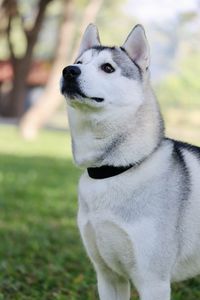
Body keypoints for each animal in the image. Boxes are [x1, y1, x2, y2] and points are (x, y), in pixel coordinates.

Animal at [60, 24, 200, 300]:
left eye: (107, 68)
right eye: (79, 62)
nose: (69, 70)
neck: (114, 170)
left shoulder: (153, 280)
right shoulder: (108, 276)